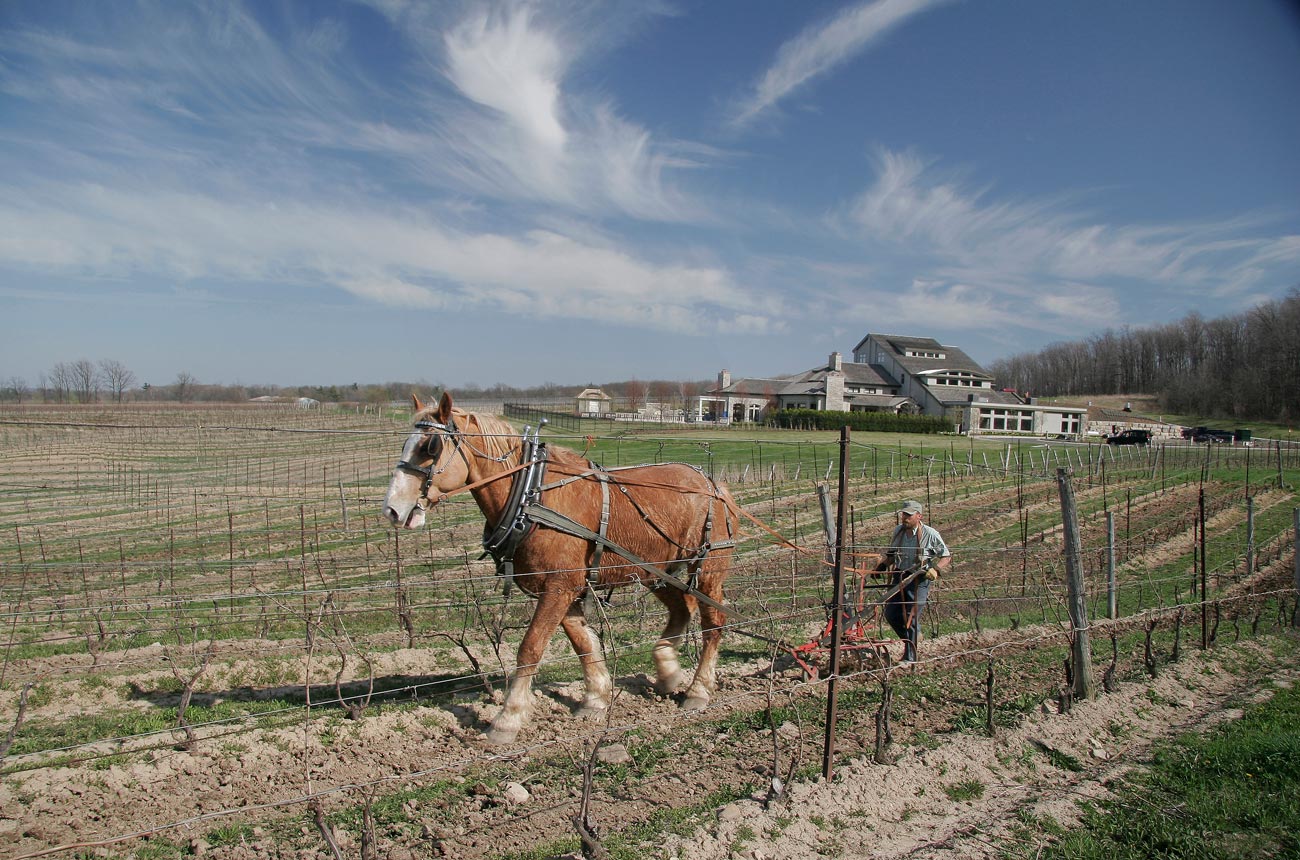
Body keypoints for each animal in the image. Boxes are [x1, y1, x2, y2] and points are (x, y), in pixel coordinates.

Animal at [382, 392, 738, 745]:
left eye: (430, 447)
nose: (392, 510)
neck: (530, 495)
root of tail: (713, 484)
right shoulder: (563, 589)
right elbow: (584, 644)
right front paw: (595, 699)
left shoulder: (559, 587)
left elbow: (530, 648)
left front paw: (507, 719)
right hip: (654, 570)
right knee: (682, 608)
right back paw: (667, 670)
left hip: (708, 570)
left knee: (713, 623)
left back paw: (698, 689)